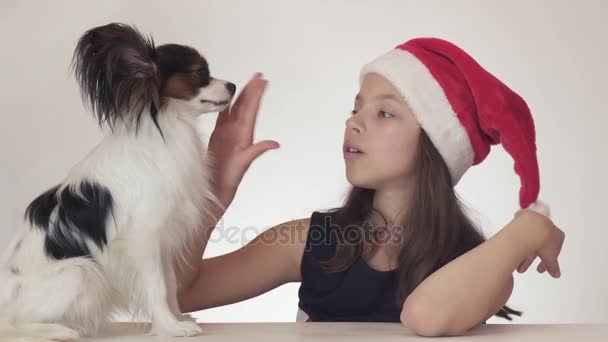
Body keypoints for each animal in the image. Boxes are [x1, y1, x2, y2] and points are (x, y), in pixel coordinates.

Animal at [0, 22, 235, 340]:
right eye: (200, 72)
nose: (233, 85)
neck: (168, 124)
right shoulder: (143, 239)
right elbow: (157, 287)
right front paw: (170, 327)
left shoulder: (162, 240)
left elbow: (171, 284)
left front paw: (176, 318)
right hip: (80, 272)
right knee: (13, 322)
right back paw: (59, 330)